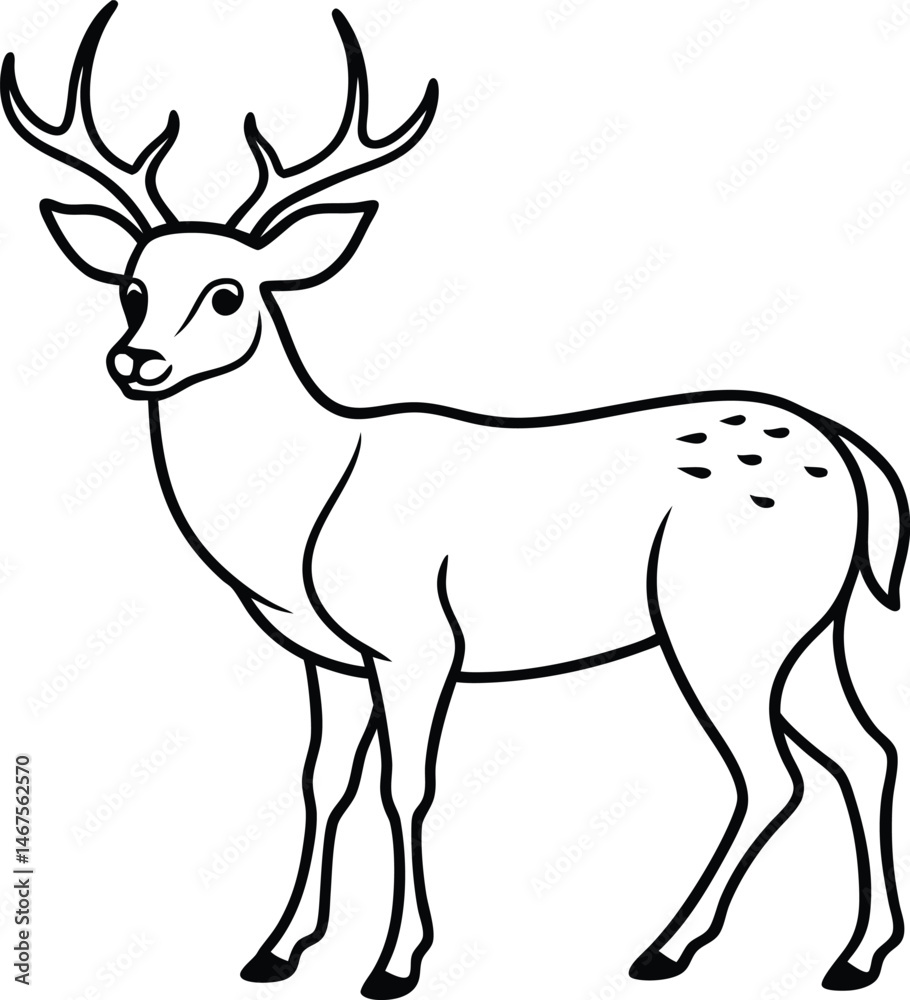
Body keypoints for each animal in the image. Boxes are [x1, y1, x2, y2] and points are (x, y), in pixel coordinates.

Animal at [4, 3, 908, 996]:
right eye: (132, 285)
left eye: (229, 293)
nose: (136, 361)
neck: (301, 519)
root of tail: (853, 456)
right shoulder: (327, 658)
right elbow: (322, 781)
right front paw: (278, 948)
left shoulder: (418, 641)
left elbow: (407, 789)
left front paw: (396, 963)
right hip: (806, 625)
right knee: (864, 751)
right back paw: (855, 955)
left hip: (722, 620)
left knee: (772, 773)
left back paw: (668, 946)